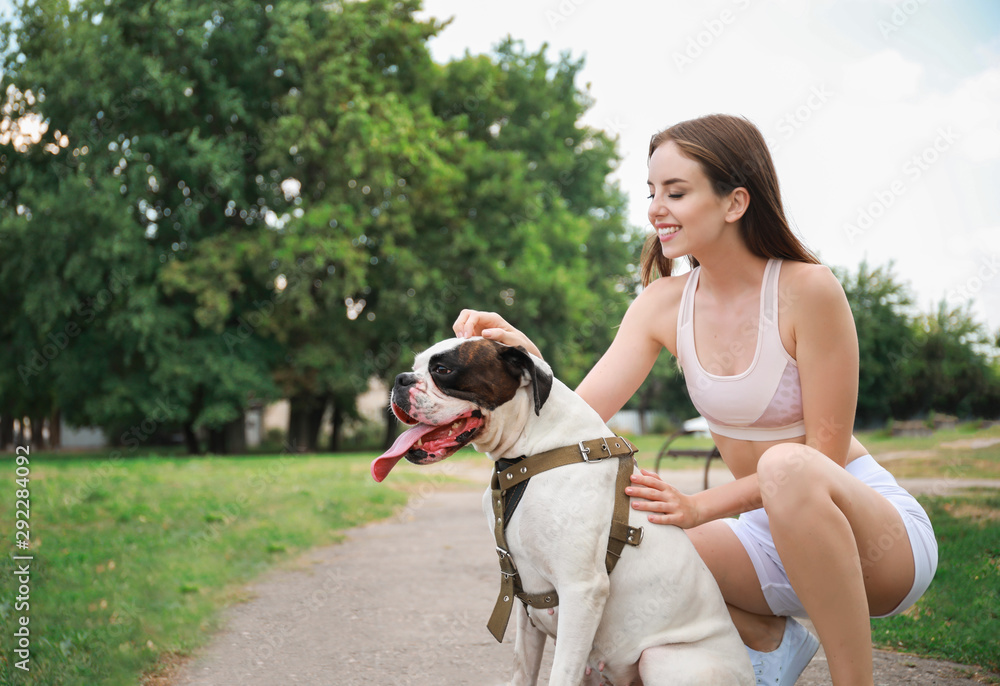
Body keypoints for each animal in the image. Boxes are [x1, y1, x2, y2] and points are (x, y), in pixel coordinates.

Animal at [372, 340, 752, 686]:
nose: (401, 379)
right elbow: (522, 672)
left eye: (442, 370)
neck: (529, 453)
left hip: (662, 660)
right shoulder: (524, 597)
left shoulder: (581, 590)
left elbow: (559, 674)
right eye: (416, 366)